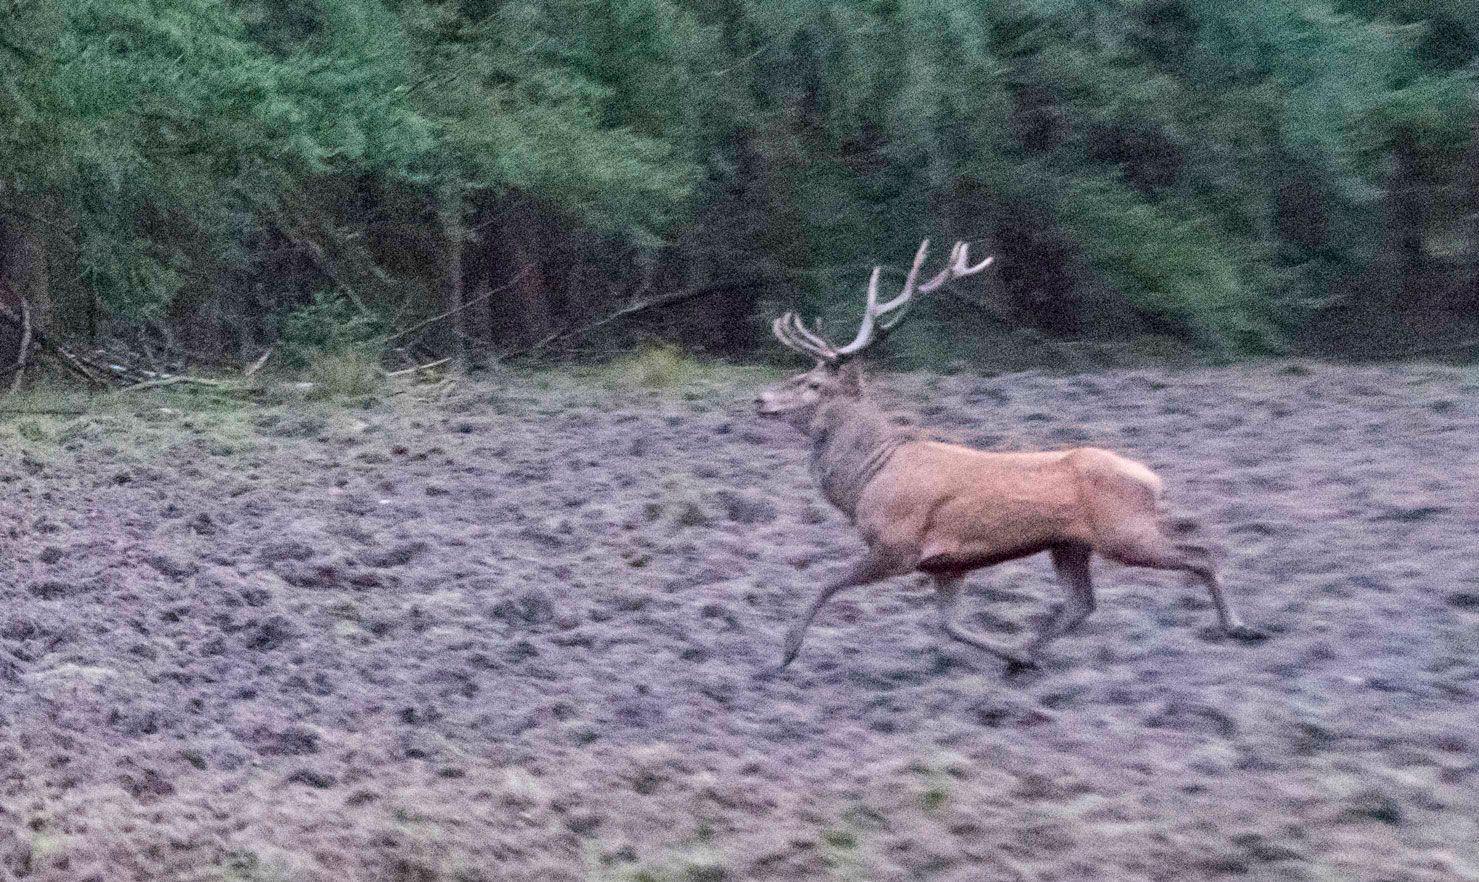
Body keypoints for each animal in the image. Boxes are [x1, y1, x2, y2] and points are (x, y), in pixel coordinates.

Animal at [757, 239, 1266, 668]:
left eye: (813, 384)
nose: (760, 399)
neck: (867, 478)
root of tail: (1152, 478)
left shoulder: (898, 544)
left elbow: (827, 582)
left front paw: (786, 652)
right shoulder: (947, 561)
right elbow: (950, 624)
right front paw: (1013, 655)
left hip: (1125, 531)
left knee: (1200, 554)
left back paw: (1241, 627)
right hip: (1070, 543)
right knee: (1083, 602)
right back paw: (1028, 655)